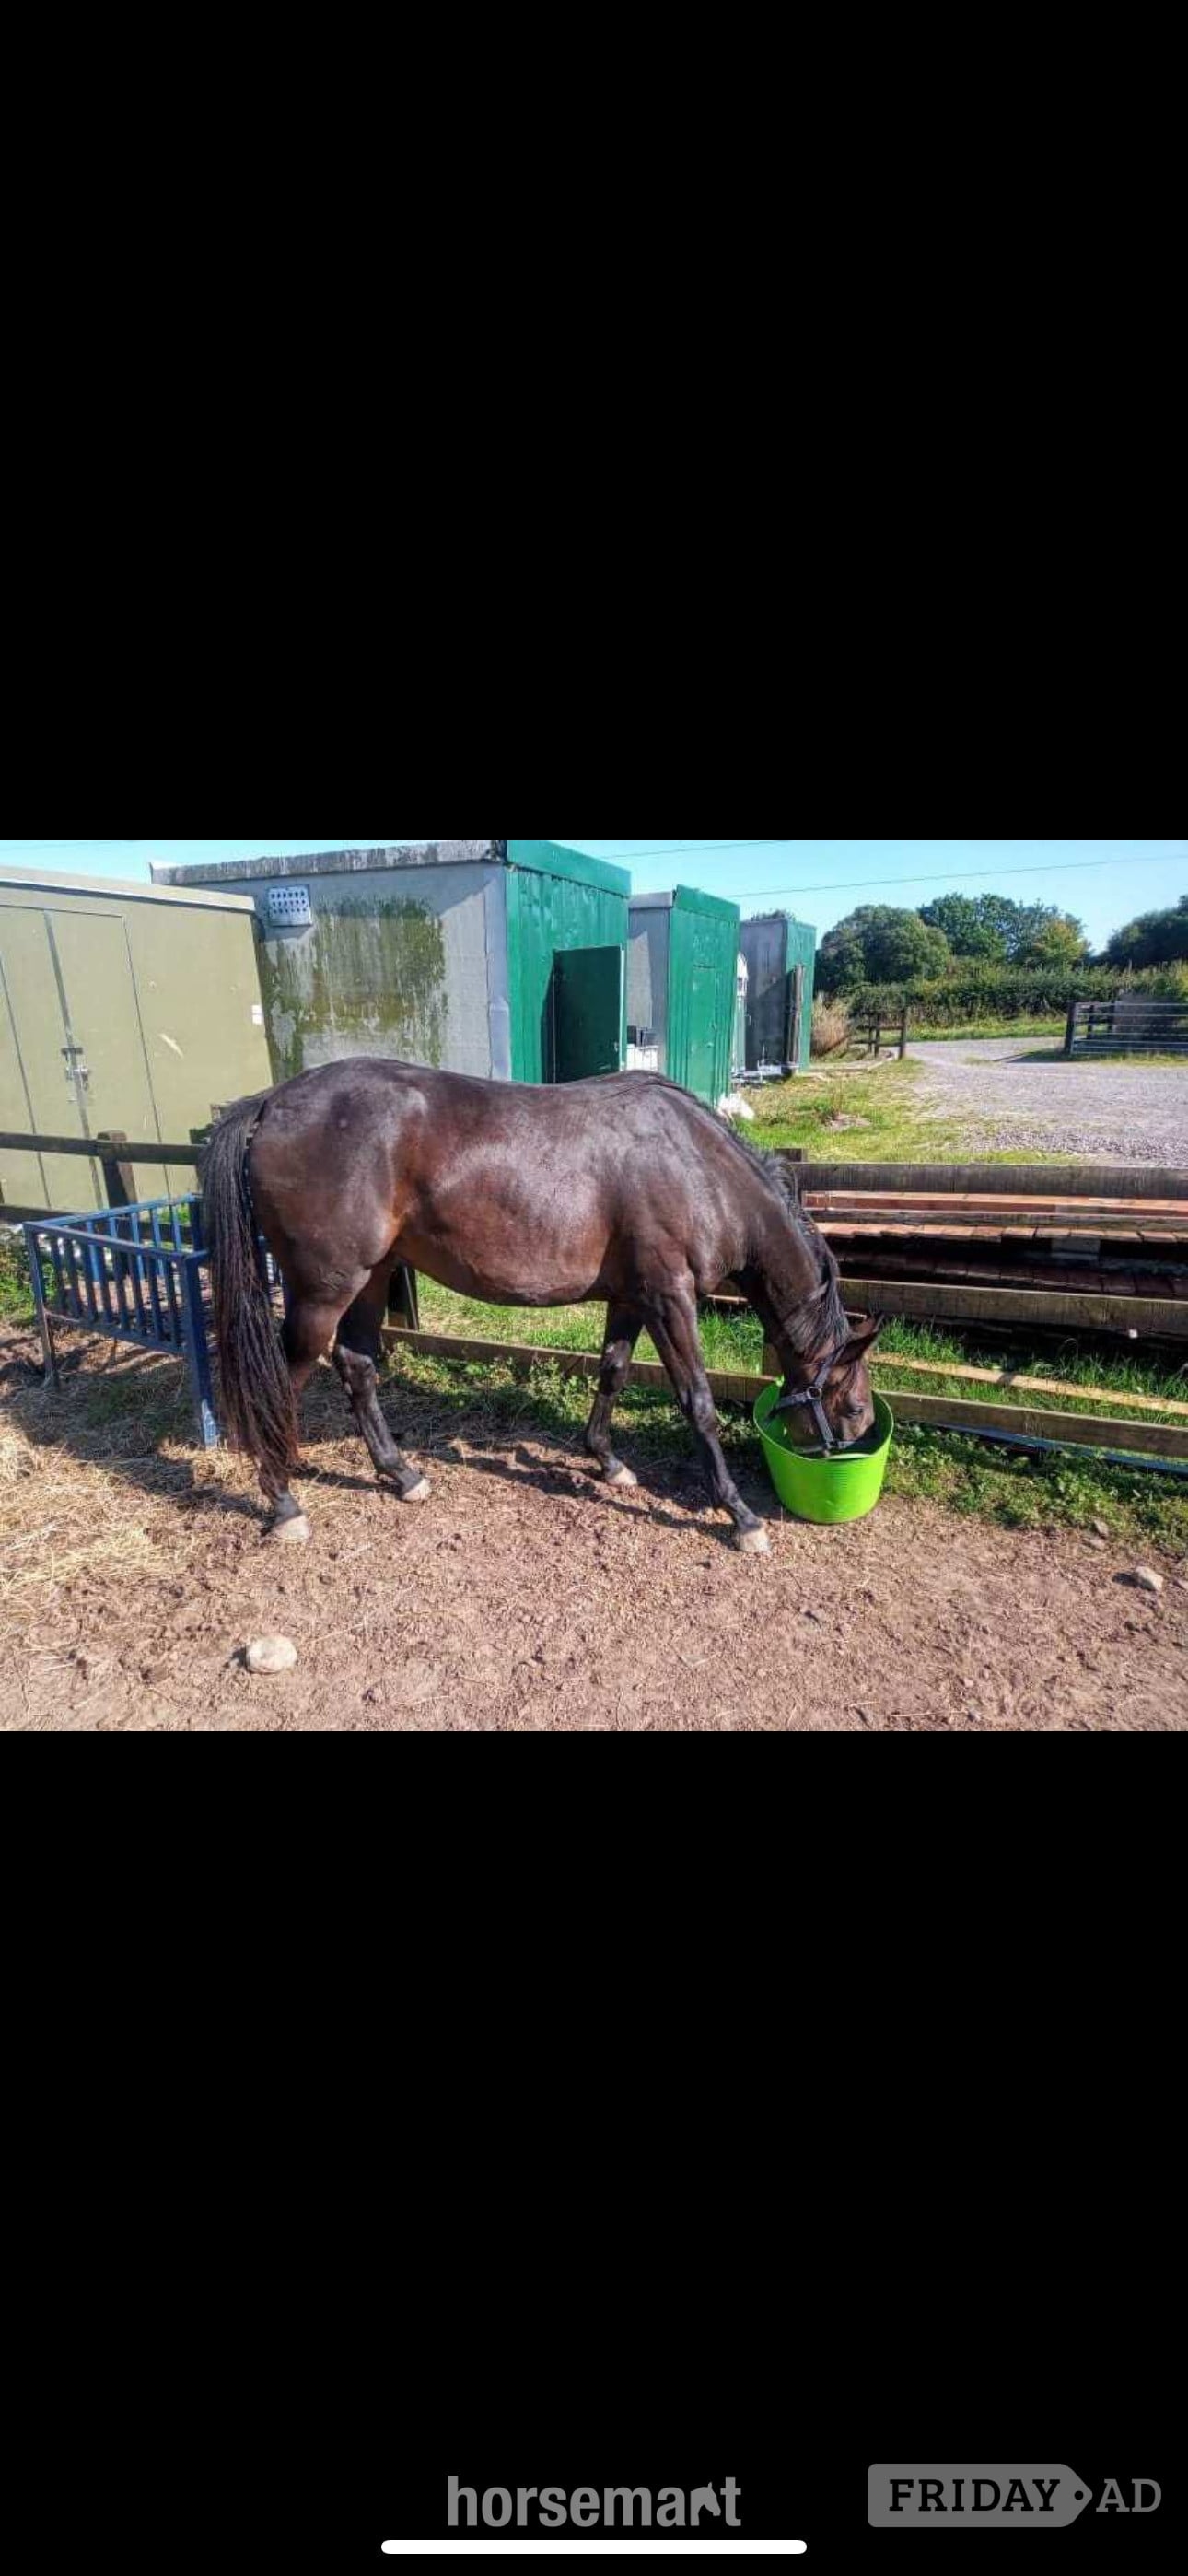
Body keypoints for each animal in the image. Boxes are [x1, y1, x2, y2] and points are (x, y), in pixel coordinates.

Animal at [200, 1061, 881, 1554]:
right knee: (283, 1382)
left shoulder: (632, 1297)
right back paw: (284, 1503)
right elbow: (698, 1401)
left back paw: (401, 1474)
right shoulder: (669, 1296)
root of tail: (271, 1103)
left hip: (371, 1278)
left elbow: (613, 1371)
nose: (853, 1443)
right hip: (323, 1292)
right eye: (853, 1404)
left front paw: (607, 1461)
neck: (697, 1167)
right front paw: (739, 1514)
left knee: (357, 1365)